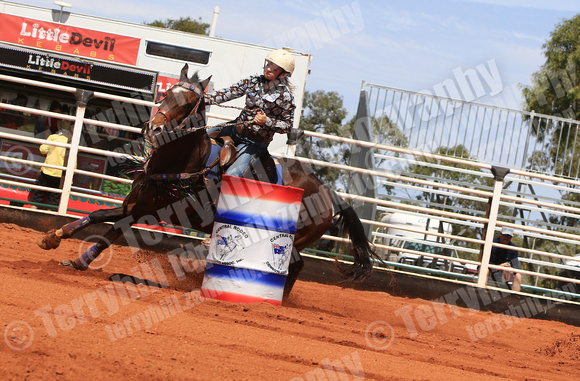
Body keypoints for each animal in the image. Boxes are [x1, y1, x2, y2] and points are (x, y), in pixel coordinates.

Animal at [37, 63, 380, 298]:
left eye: (189, 104)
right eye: (166, 94)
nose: (153, 129)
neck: (187, 163)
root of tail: (330, 194)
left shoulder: (144, 212)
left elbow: (109, 234)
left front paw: (80, 262)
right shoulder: (134, 203)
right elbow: (96, 215)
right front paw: (54, 236)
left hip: (295, 239)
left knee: (294, 266)